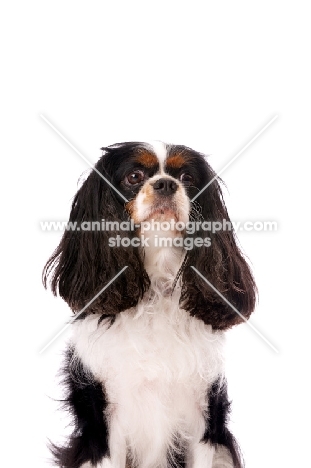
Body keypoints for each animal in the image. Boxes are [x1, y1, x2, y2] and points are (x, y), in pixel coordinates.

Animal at [44, 142, 258, 468]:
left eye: (186, 177)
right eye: (134, 176)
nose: (166, 184)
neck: (157, 286)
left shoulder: (202, 418)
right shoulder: (106, 422)